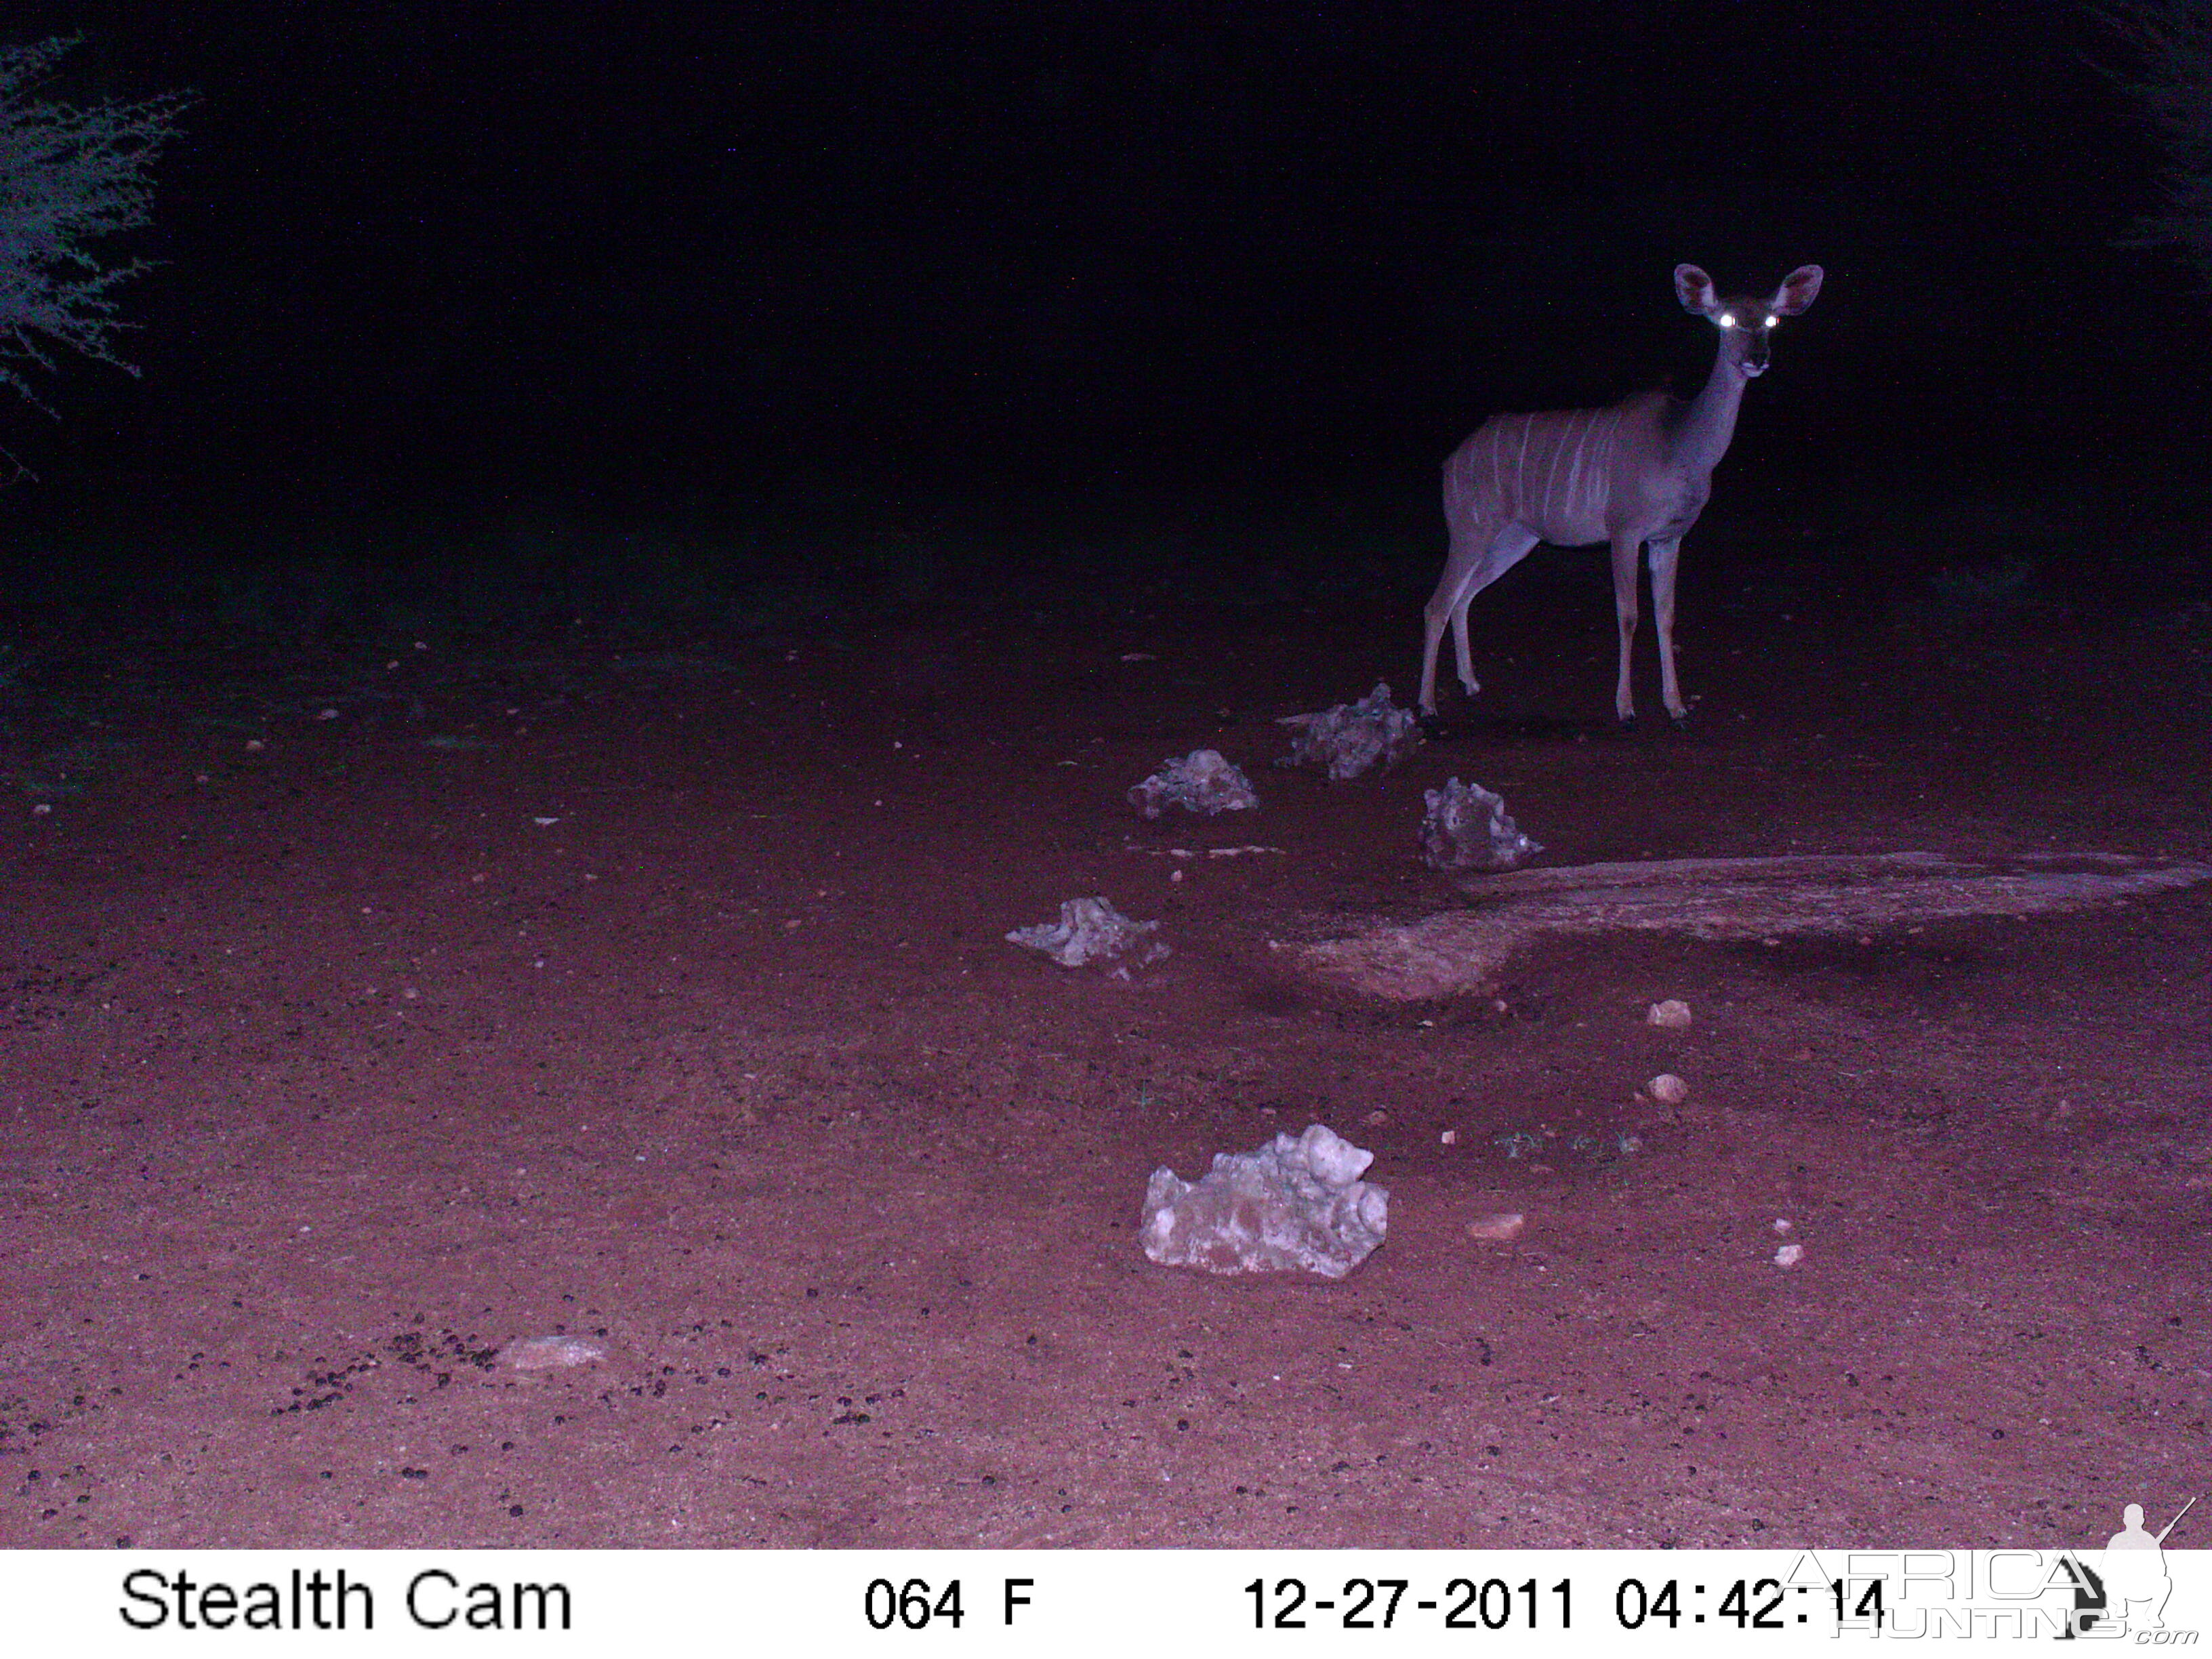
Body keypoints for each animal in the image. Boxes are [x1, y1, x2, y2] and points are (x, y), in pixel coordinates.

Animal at [1425, 263, 1822, 725]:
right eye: (1725, 319)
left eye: (1772, 320)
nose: (1757, 359)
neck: (1679, 446)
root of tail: (1449, 463)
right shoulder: (1624, 530)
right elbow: (1629, 614)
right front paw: (1626, 707)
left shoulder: (1669, 536)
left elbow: (1666, 616)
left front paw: (1676, 706)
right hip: (1469, 528)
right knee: (1438, 602)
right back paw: (1428, 704)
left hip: (1516, 538)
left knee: (1464, 596)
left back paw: (1471, 684)